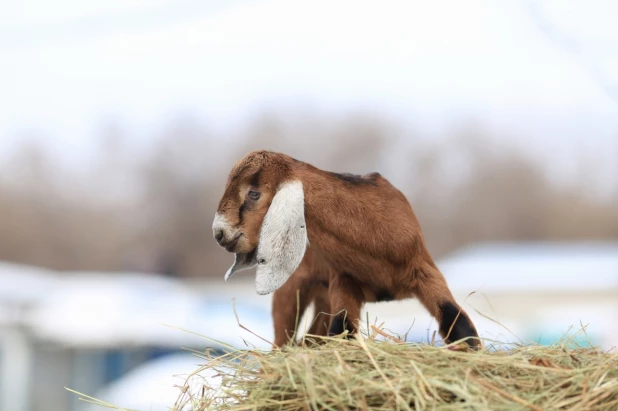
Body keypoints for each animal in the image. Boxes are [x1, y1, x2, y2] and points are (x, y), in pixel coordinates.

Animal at [213, 151, 482, 350]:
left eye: (254, 193)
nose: (219, 234)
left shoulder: (425, 271)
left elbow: (459, 324)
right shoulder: (343, 281)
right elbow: (342, 331)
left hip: (321, 295)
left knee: (308, 338)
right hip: (294, 288)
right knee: (284, 342)